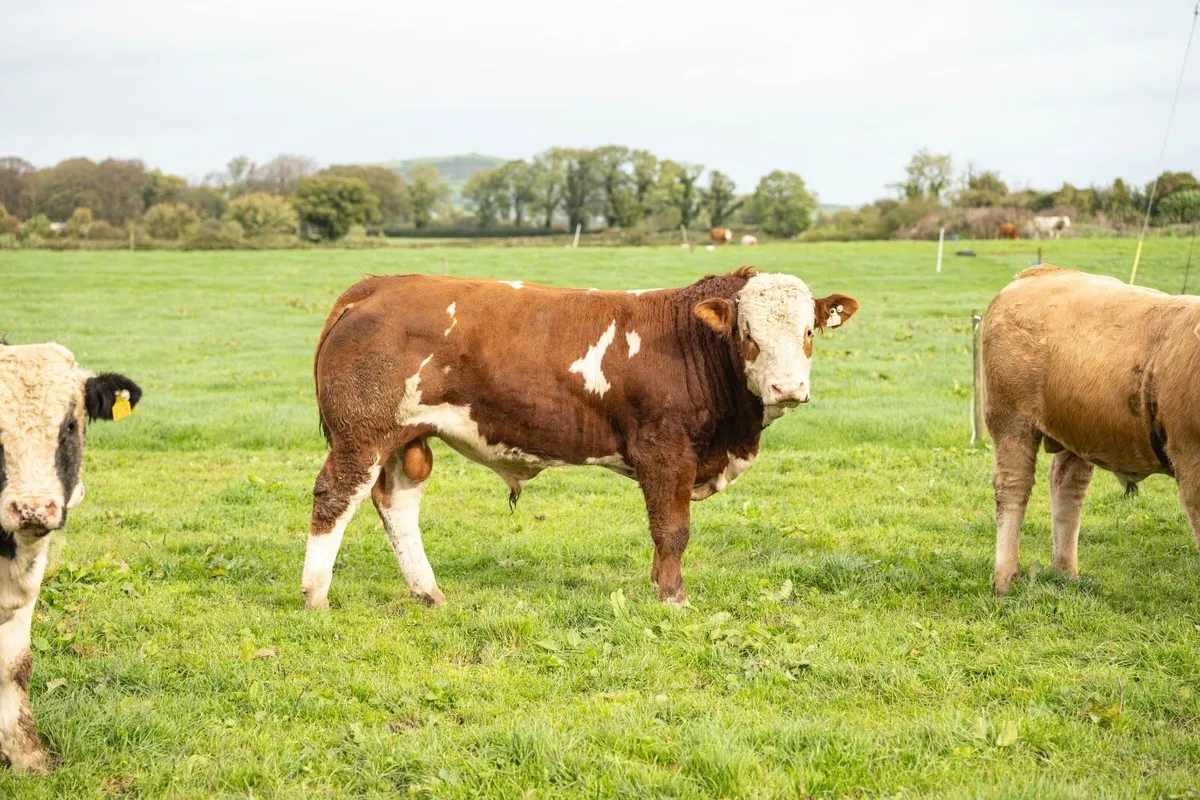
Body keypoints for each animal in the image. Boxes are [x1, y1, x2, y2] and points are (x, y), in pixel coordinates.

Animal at [301, 267, 858, 609]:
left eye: (809, 332)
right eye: (747, 334)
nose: (788, 387)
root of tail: (378, 286)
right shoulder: (665, 453)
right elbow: (672, 530)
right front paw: (673, 598)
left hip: (404, 437)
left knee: (397, 503)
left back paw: (428, 592)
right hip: (361, 435)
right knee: (334, 498)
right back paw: (315, 594)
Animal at [983, 266, 1200, 595]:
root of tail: (1037, 273)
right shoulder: (1191, 463)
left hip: (1077, 429)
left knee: (1067, 487)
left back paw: (1066, 573)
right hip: (1010, 422)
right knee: (1013, 489)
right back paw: (1006, 579)